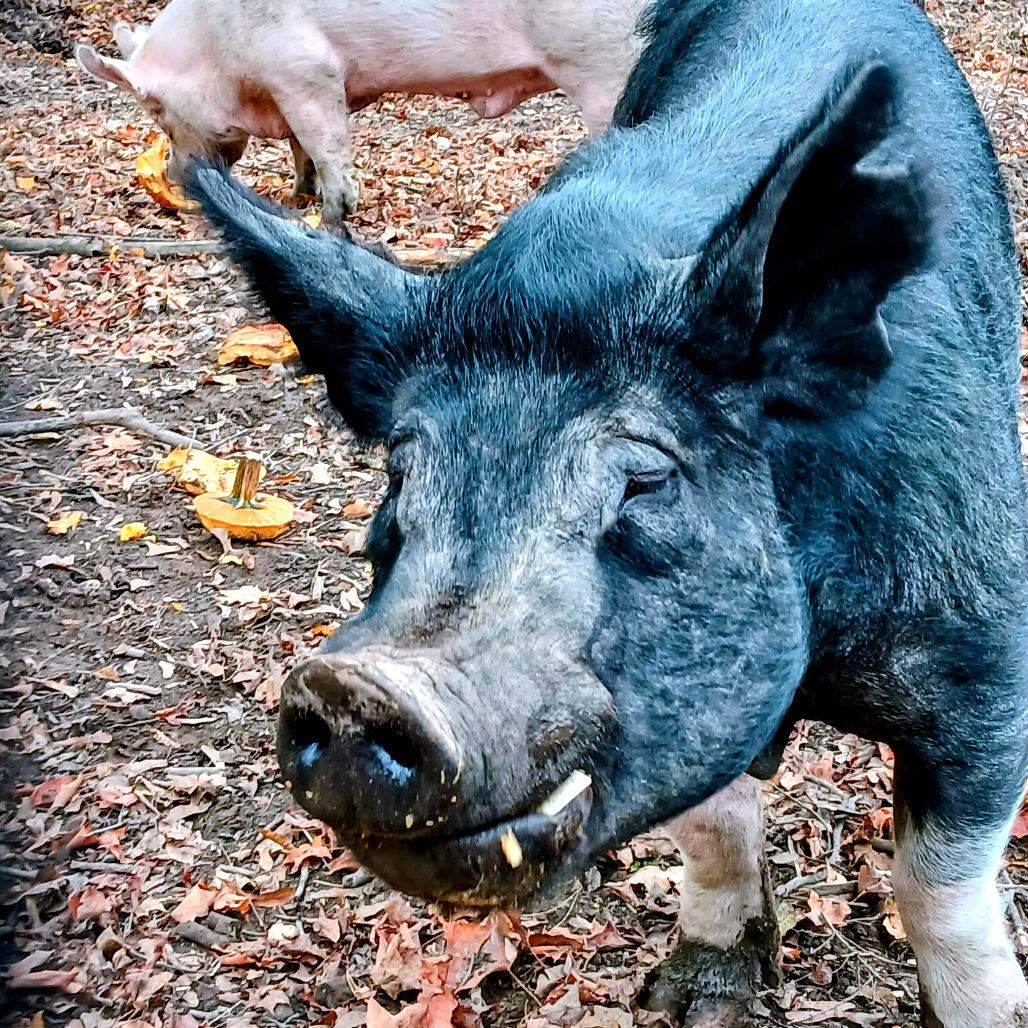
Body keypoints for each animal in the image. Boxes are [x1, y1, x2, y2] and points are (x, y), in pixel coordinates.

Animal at [74, 0, 646, 223]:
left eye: (155, 108)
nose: (173, 173)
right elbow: (299, 146)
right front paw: (297, 196)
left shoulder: (306, 72)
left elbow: (325, 141)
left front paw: (330, 214)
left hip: (603, 65)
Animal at [186, 0, 1028, 1022]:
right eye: (400, 473)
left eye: (647, 477)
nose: (358, 687)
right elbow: (715, 827)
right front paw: (684, 1002)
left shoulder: (988, 655)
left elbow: (939, 883)